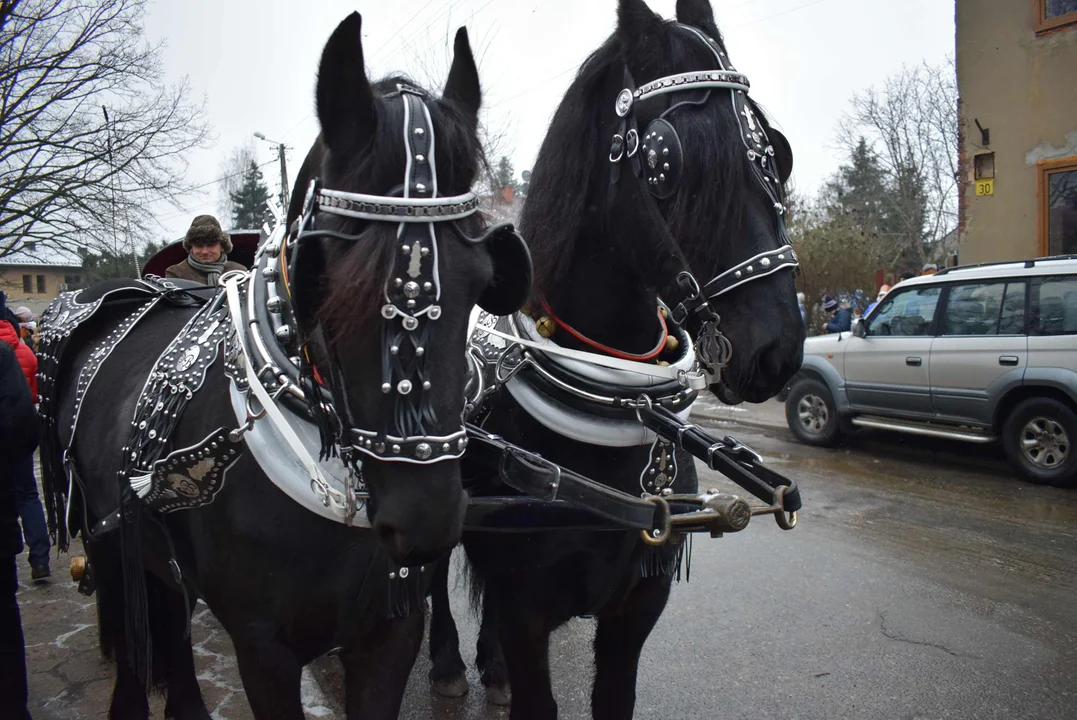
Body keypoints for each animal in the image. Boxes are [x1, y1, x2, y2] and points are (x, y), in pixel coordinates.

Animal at [42, 12, 529, 718]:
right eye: (325, 280)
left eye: (481, 280)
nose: (425, 519)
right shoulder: (261, 648)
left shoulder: (390, 635)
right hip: (107, 543)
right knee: (136, 641)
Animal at [426, 2, 801, 714]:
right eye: (667, 161)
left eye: (776, 152)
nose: (780, 349)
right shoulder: (525, 607)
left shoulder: (636, 607)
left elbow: (614, 697)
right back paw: (448, 665)